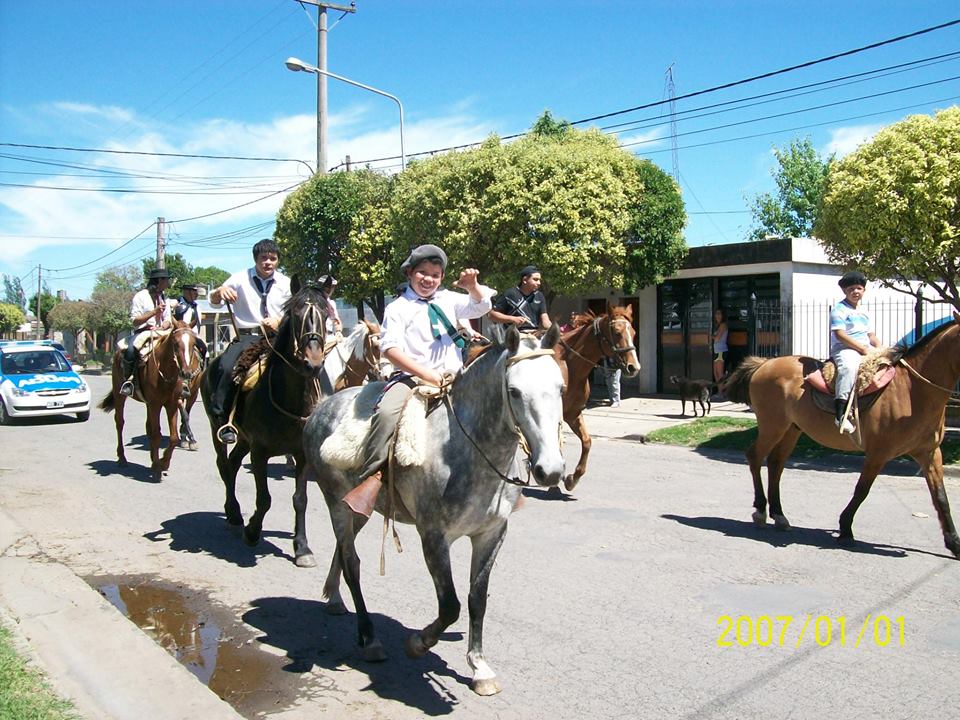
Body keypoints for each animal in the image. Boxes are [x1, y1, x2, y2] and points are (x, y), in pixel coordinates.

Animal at [99, 322, 202, 480]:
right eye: (175, 343)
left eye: (193, 343)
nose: (186, 373)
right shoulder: (155, 405)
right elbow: (156, 434)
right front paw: (158, 467)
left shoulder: (171, 405)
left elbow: (173, 437)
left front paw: (163, 463)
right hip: (119, 394)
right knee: (120, 423)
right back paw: (122, 458)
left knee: (148, 427)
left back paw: (153, 460)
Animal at [304, 324, 568, 692]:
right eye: (514, 391)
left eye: (560, 388)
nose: (550, 470)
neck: (469, 449)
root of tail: (323, 406)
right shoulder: (433, 536)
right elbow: (450, 605)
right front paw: (418, 643)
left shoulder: (491, 534)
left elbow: (477, 599)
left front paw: (480, 667)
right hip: (336, 504)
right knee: (352, 562)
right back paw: (369, 639)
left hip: (359, 510)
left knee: (343, 554)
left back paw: (334, 600)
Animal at [556, 300, 636, 492]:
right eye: (617, 332)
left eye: (634, 333)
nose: (633, 367)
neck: (570, 367)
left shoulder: (573, 413)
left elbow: (587, 441)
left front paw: (572, 478)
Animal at [724, 312, 960, 560]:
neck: (912, 390)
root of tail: (765, 364)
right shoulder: (878, 453)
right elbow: (861, 490)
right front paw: (845, 529)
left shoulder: (929, 453)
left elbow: (940, 497)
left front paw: (954, 543)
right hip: (773, 426)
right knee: (755, 456)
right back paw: (760, 510)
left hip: (790, 430)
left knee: (775, 463)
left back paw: (779, 515)